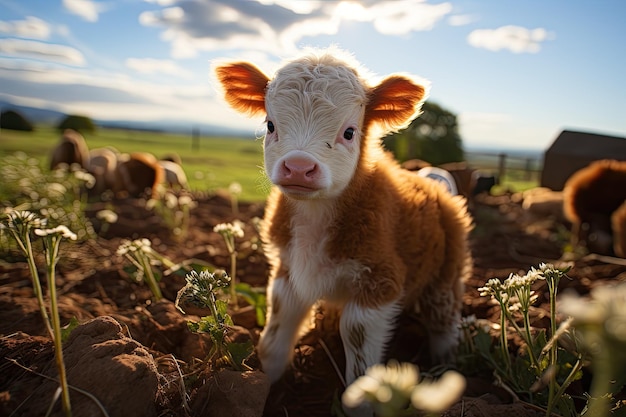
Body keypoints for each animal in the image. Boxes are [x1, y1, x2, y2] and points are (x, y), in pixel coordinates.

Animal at [212, 48, 470, 394]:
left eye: (349, 132)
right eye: (270, 125)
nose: (298, 166)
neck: (315, 217)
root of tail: (432, 180)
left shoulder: (381, 281)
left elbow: (358, 351)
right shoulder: (287, 271)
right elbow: (276, 335)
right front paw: (269, 384)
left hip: (446, 274)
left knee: (443, 323)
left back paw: (444, 366)